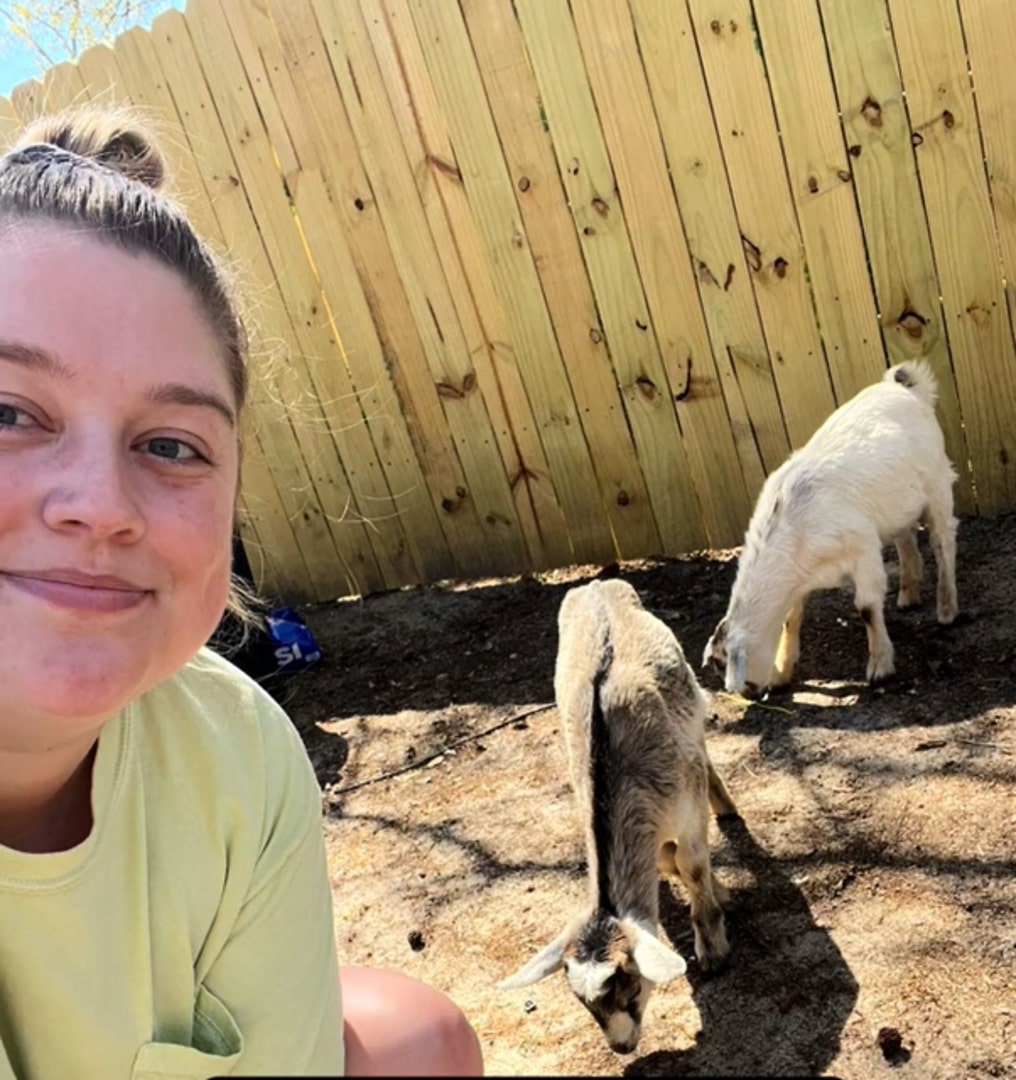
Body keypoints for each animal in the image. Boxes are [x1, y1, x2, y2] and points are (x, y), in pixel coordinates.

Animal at [498, 583, 738, 1054]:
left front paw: (713, 944)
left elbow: (692, 863)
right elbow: (667, 860)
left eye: (628, 983)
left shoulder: (686, 799)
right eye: (582, 1001)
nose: (621, 1047)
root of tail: (596, 585)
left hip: (692, 712)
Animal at [699, 362, 954, 695]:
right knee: (905, 536)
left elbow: (867, 607)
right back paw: (909, 594)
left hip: (937, 483)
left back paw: (947, 608)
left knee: (942, 539)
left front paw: (880, 667)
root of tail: (907, 387)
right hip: (897, 503)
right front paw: (782, 672)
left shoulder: (863, 550)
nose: (749, 693)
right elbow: (791, 618)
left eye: (723, 665)